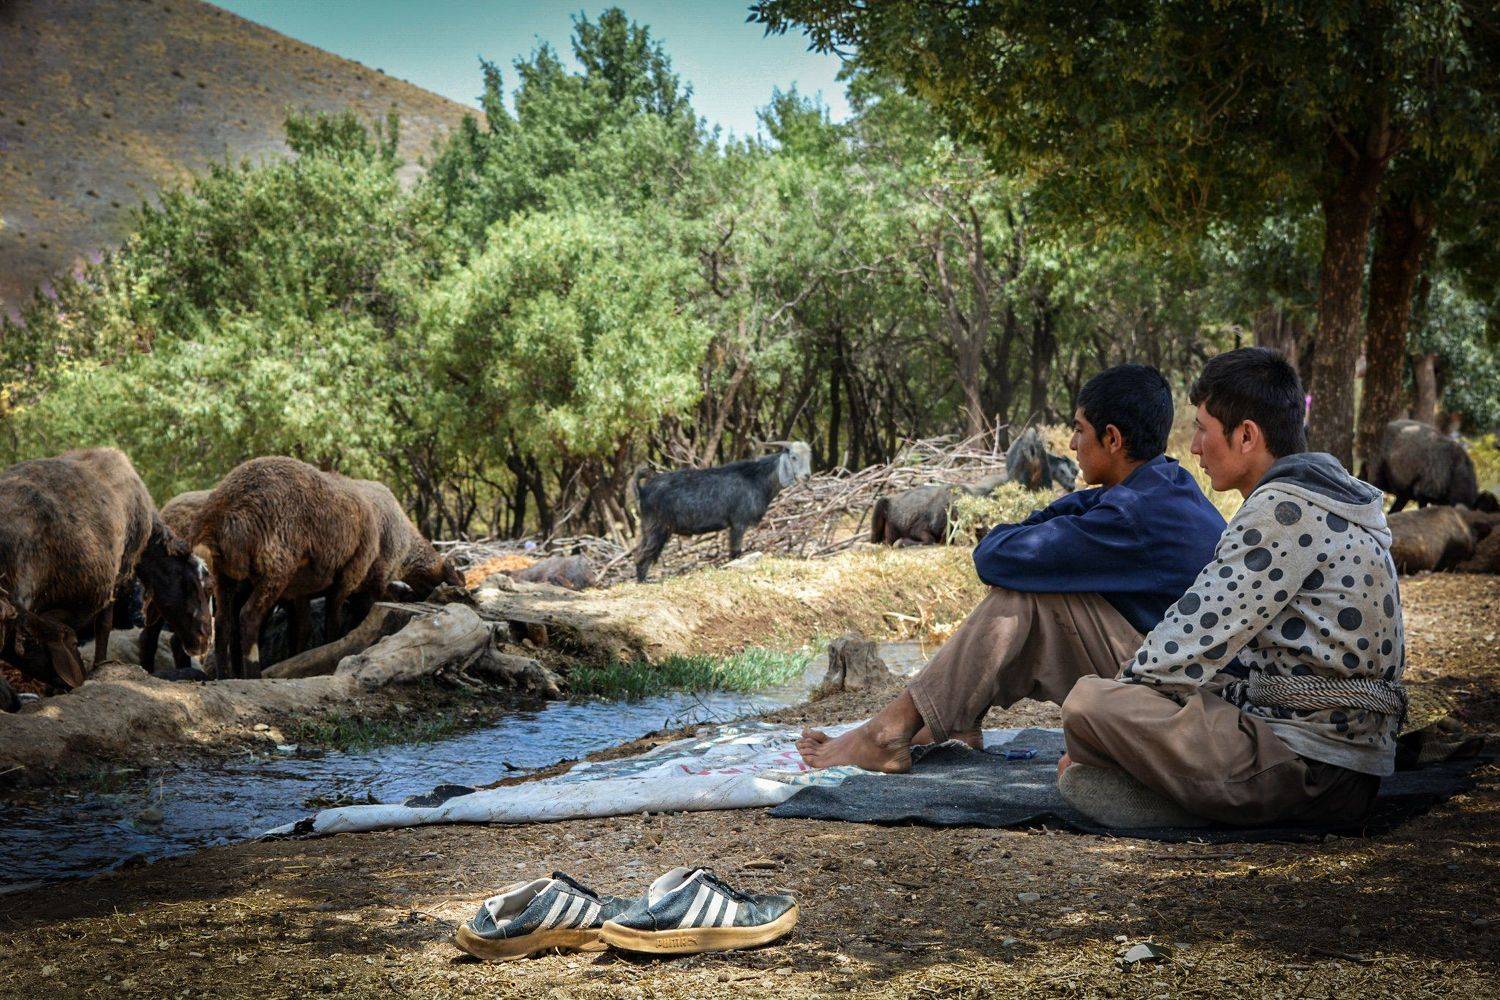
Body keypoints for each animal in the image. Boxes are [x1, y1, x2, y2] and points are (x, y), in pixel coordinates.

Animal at [191, 457, 381, 679]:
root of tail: (220, 514)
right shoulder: (346, 577)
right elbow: (331, 622)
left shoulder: (300, 591)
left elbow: (302, 628)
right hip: (276, 569)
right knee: (248, 616)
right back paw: (253, 673)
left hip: (224, 575)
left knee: (222, 622)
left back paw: (226, 676)